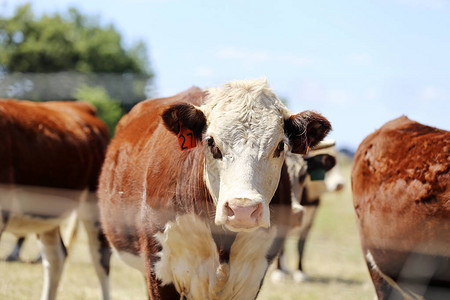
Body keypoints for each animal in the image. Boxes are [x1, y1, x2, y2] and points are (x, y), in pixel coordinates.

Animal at [270, 139, 344, 282]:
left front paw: (300, 272)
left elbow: (301, 244)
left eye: (303, 175)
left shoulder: (310, 218)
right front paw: (278, 272)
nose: (295, 213)